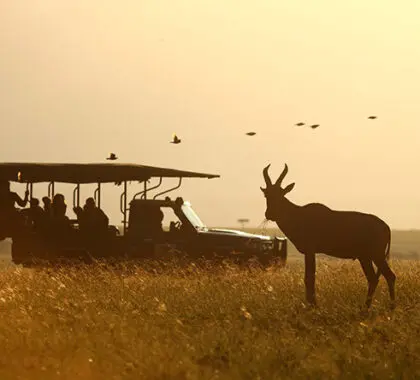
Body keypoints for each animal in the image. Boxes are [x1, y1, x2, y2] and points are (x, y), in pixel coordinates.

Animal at [260, 163, 396, 308]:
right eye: (266, 194)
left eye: (281, 193)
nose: (269, 214)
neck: (299, 214)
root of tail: (386, 226)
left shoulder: (310, 250)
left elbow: (309, 277)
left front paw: (312, 306)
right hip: (365, 257)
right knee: (373, 279)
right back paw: (365, 308)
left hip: (376, 255)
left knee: (389, 276)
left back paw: (390, 307)